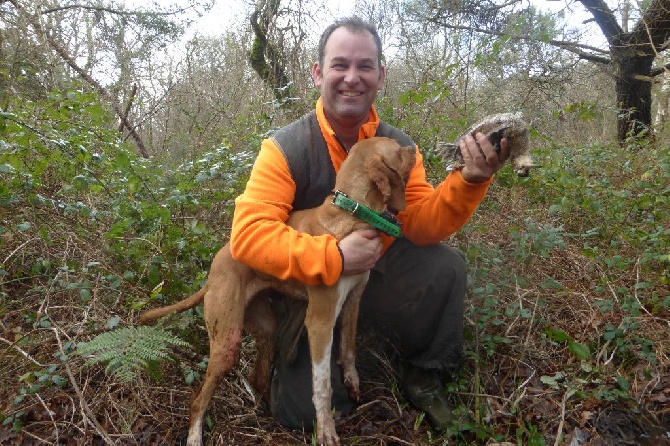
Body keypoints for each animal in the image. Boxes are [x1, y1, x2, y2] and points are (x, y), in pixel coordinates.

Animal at [139, 137, 418, 446]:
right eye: (399, 150)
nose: (414, 148)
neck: (350, 213)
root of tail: (212, 274)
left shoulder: (353, 300)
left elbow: (349, 350)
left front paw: (353, 383)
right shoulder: (320, 321)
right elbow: (322, 385)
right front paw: (325, 429)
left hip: (265, 329)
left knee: (259, 377)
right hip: (226, 342)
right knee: (198, 401)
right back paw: (195, 436)